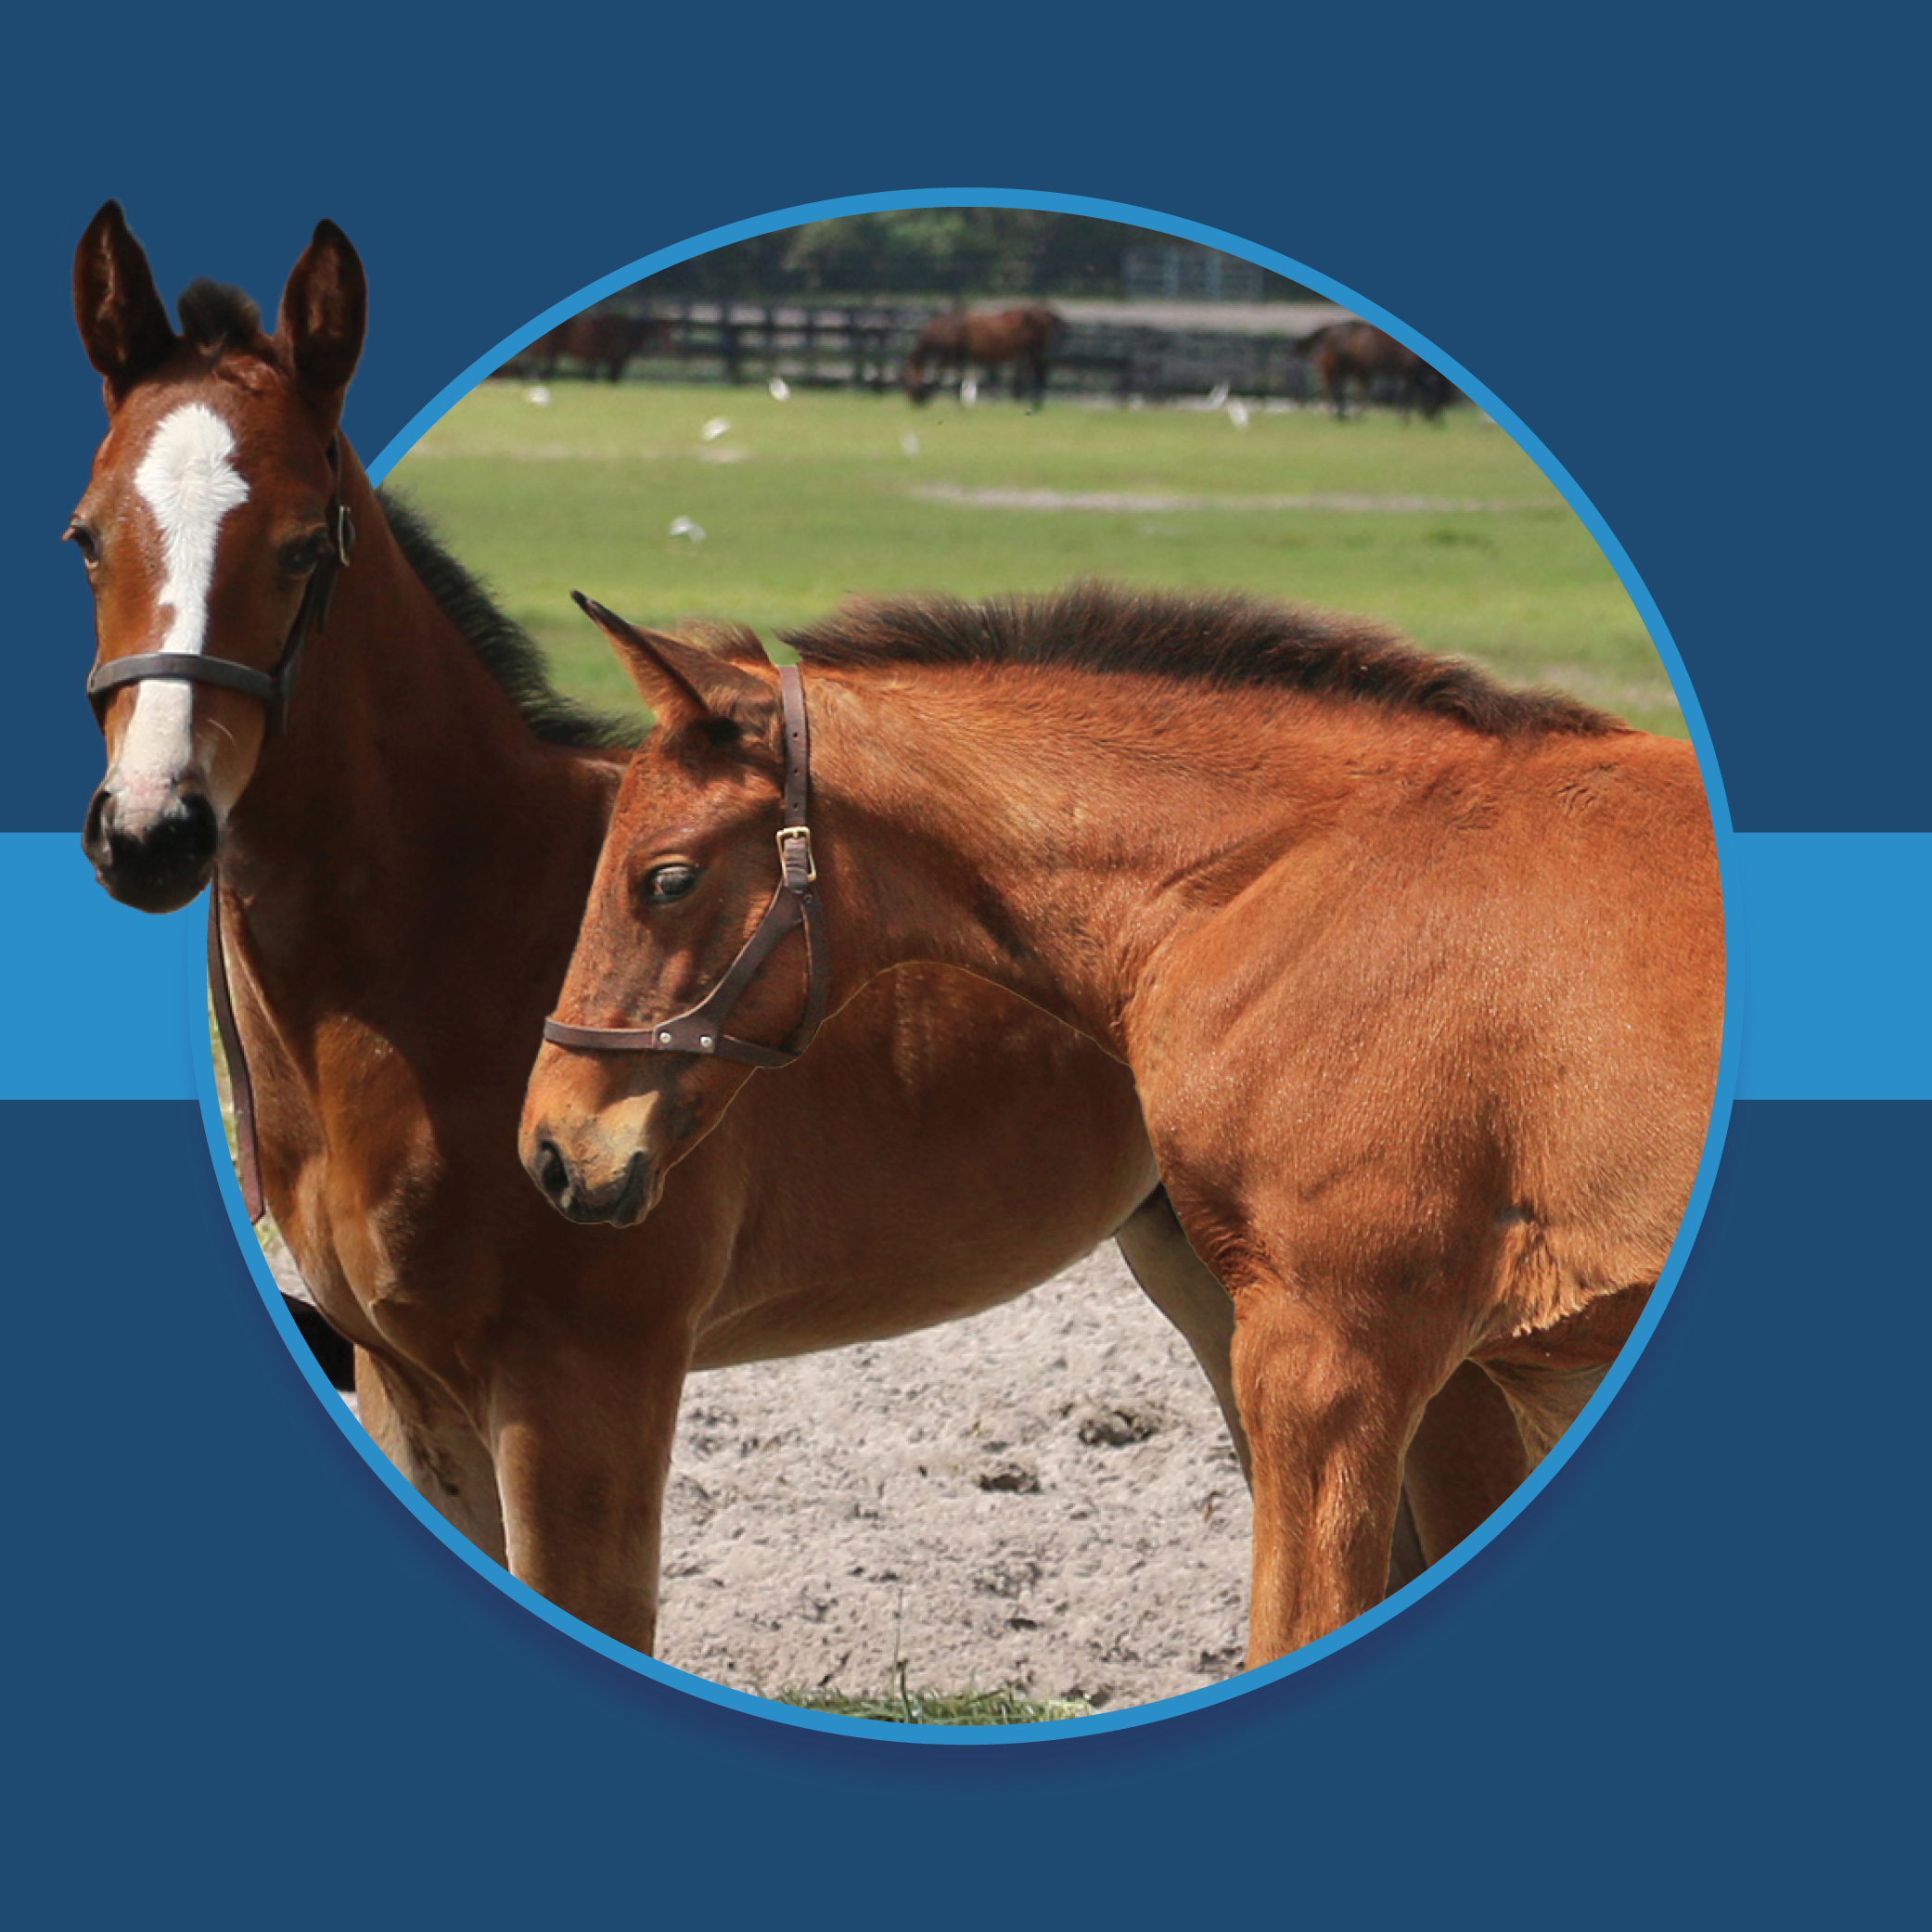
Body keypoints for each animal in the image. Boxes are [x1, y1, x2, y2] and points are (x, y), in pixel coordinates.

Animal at [903, 305, 1063, 407]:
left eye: (909, 380)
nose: (914, 402)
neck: (948, 326)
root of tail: (1044, 315)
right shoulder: (956, 356)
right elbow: (951, 376)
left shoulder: (952, 355)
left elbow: (942, 376)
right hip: (1030, 353)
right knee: (1034, 372)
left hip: (1035, 351)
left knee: (1039, 373)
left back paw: (1036, 403)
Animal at [1299, 320, 1455, 419]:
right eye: (1439, 393)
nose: (1438, 421)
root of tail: (1330, 330)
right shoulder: (1407, 373)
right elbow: (1405, 394)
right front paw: (1403, 418)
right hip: (1333, 370)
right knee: (1330, 389)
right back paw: (1336, 415)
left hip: (1344, 371)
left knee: (1338, 390)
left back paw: (1343, 414)